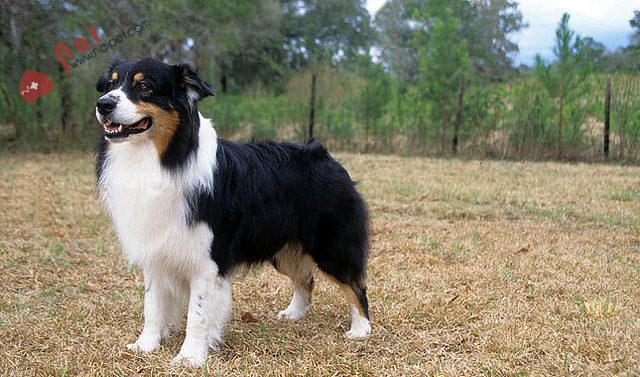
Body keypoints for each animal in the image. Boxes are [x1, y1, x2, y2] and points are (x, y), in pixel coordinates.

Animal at [94, 57, 370, 366]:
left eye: (144, 87)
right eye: (109, 85)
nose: (103, 104)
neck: (163, 158)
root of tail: (325, 156)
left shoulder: (207, 259)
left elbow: (198, 314)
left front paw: (189, 357)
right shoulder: (155, 249)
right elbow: (152, 305)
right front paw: (145, 346)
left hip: (330, 246)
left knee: (355, 285)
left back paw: (361, 329)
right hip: (283, 249)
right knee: (306, 280)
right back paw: (294, 314)